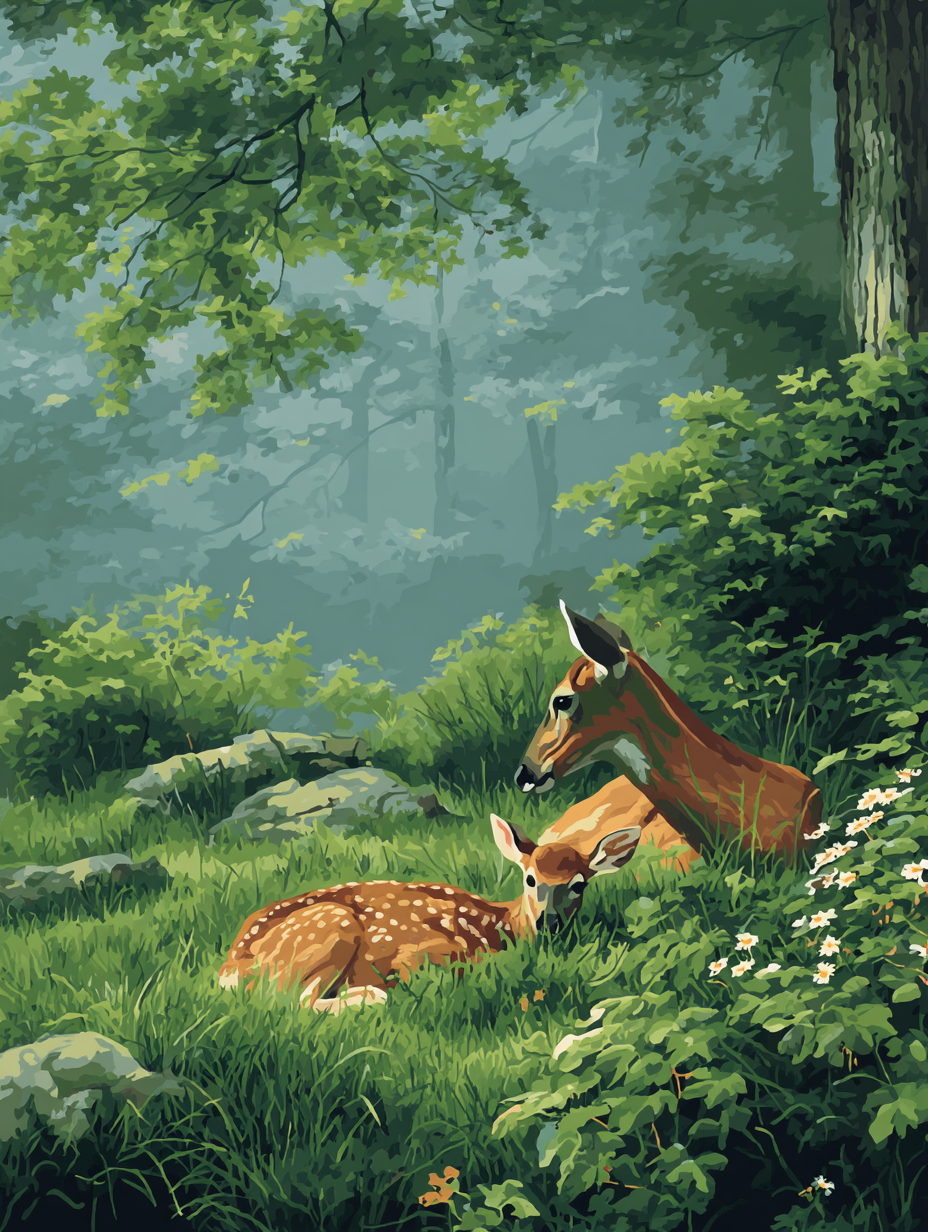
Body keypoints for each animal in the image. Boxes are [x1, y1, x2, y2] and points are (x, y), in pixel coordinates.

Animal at [217, 806, 641, 1013]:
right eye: (530, 879)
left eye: (579, 885)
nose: (549, 920)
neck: (498, 927)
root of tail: (230, 966)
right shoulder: (423, 953)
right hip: (330, 929)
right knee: (289, 1002)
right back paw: (370, 996)